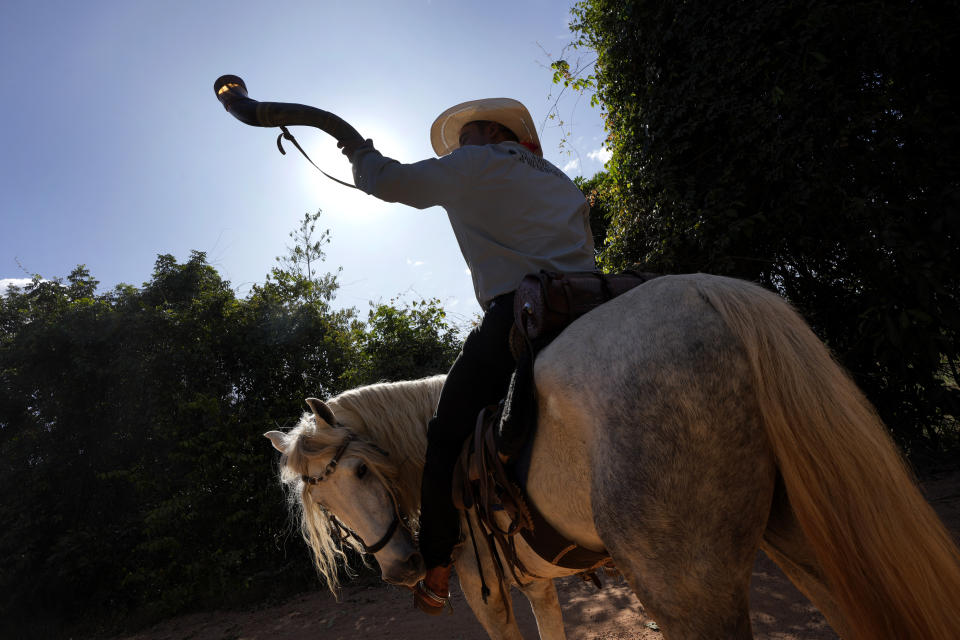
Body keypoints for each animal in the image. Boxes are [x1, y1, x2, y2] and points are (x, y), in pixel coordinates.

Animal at [264, 276, 960, 640]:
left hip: (686, 586)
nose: (405, 568)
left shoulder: (488, 596)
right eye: (322, 499)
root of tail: (706, 292)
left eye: (361, 470)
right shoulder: (538, 585)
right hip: (802, 539)